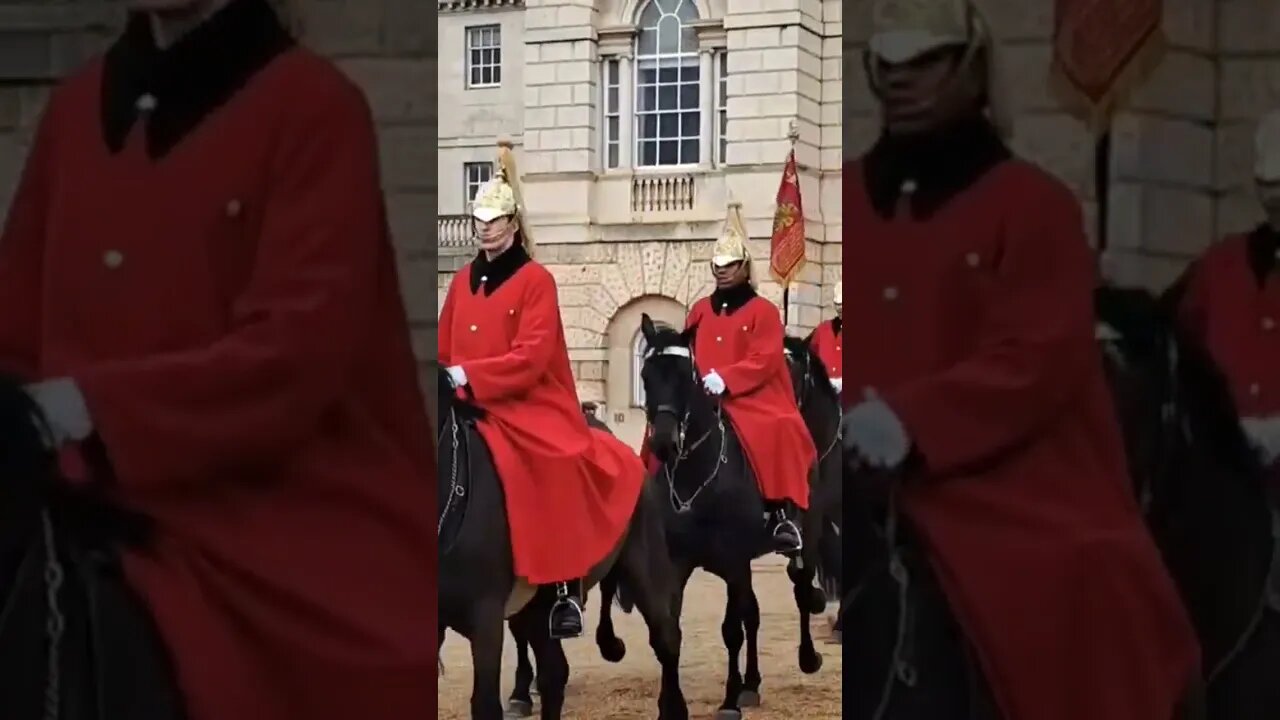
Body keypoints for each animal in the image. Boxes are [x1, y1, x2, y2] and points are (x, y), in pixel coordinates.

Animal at [634, 315, 824, 717]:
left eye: (684, 375)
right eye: (646, 374)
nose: (663, 443)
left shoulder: (734, 561)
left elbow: (731, 630)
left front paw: (728, 700)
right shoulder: (678, 563)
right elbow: (670, 631)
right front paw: (671, 704)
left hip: (806, 536)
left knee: (799, 589)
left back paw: (806, 657)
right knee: (752, 613)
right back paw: (751, 684)